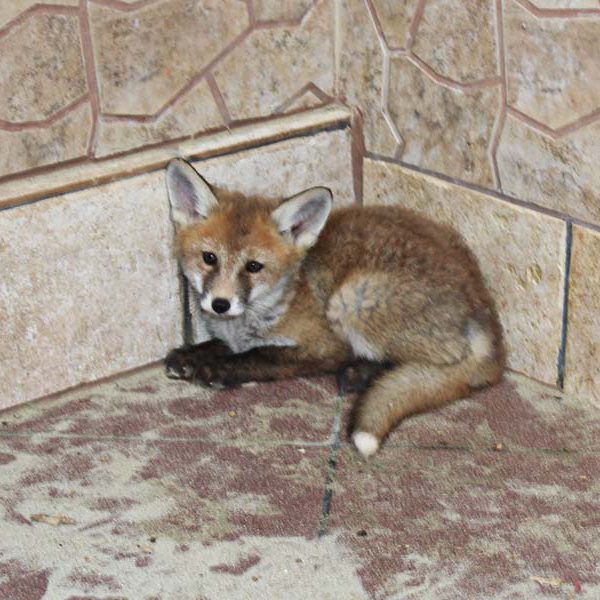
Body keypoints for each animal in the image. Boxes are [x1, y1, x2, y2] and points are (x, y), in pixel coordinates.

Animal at [164, 157, 506, 458]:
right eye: (209, 258)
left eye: (253, 267)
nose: (220, 304)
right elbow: (221, 345)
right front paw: (189, 355)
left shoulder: (324, 346)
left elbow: (260, 356)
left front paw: (219, 369)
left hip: (351, 298)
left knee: (434, 364)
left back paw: (360, 374)